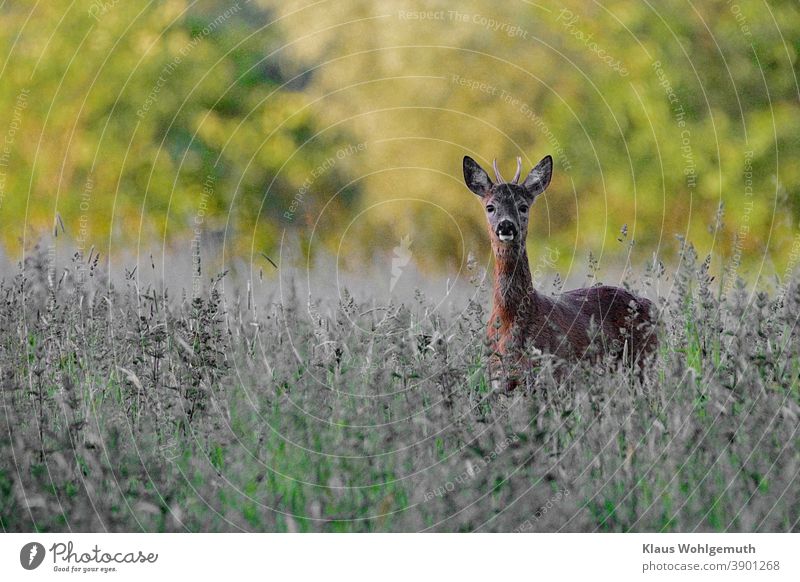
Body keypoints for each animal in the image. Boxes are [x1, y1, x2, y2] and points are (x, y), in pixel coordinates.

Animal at [462, 155, 656, 392]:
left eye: (523, 206)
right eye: (490, 207)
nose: (506, 225)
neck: (510, 319)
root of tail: (649, 304)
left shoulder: (553, 373)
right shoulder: (498, 381)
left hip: (643, 362)